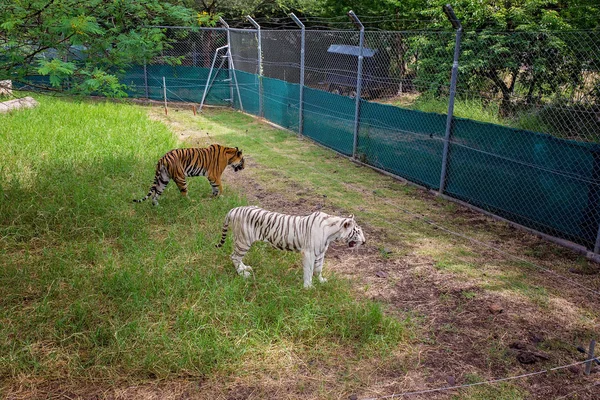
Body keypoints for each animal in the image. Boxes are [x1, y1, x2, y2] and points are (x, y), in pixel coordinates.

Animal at [216, 206, 366, 288]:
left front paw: (321, 281)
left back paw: (244, 268)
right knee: (234, 256)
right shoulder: (309, 253)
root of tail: (235, 209)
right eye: (357, 231)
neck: (332, 235)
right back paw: (242, 274)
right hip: (244, 240)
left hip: (243, 242)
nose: (364, 242)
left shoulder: (321, 253)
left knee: (237, 257)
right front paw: (308, 287)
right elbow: (309, 271)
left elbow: (318, 269)